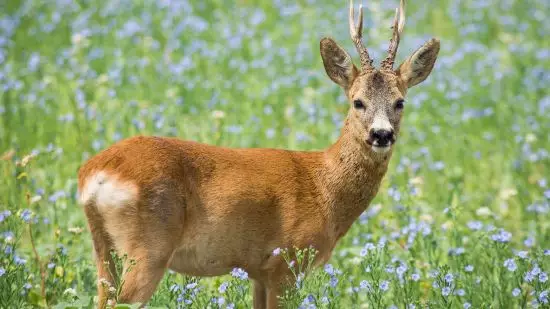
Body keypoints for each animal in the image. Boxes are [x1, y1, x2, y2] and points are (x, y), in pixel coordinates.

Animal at [78, 1, 440, 306]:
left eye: (400, 102)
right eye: (358, 101)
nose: (381, 134)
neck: (324, 187)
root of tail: (95, 174)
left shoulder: (258, 271)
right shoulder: (288, 261)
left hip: (104, 248)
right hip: (149, 246)